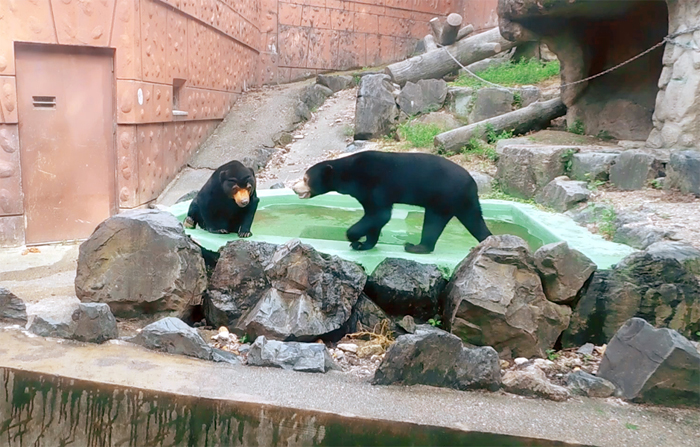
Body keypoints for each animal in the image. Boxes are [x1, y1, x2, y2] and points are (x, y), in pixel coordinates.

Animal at [292, 151, 494, 254]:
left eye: (305, 178)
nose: (294, 187)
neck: (349, 174)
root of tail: (472, 182)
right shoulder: (364, 193)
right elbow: (374, 216)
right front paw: (365, 244)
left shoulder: (375, 183)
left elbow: (380, 214)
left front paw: (353, 238)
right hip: (457, 201)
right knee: (471, 219)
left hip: (444, 196)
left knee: (436, 222)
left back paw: (414, 247)